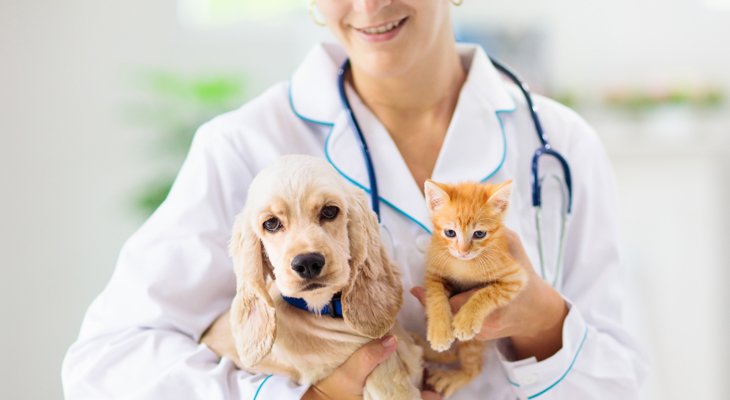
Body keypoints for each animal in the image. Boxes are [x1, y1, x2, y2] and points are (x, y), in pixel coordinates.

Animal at [420, 179, 524, 396]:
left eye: (479, 234)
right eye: (450, 232)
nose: (463, 251)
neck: (464, 265)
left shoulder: (515, 277)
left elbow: (487, 293)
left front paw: (466, 320)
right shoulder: (434, 272)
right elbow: (435, 297)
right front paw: (440, 331)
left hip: (474, 343)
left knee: (474, 367)